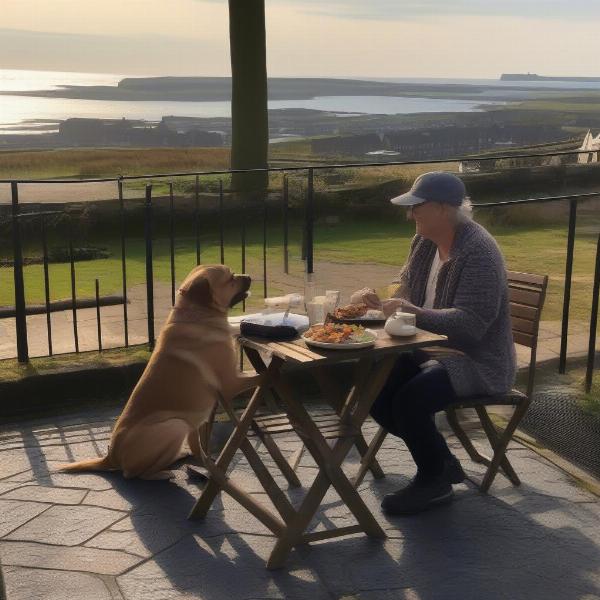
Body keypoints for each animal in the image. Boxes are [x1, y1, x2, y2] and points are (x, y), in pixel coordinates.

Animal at [58, 264, 260, 480]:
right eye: (230, 278)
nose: (249, 276)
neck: (197, 316)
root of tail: (110, 458)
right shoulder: (231, 382)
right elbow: (259, 376)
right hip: (175, 426)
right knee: (133, 473)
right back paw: (162, 473)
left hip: (187, 427)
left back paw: (180, 456)